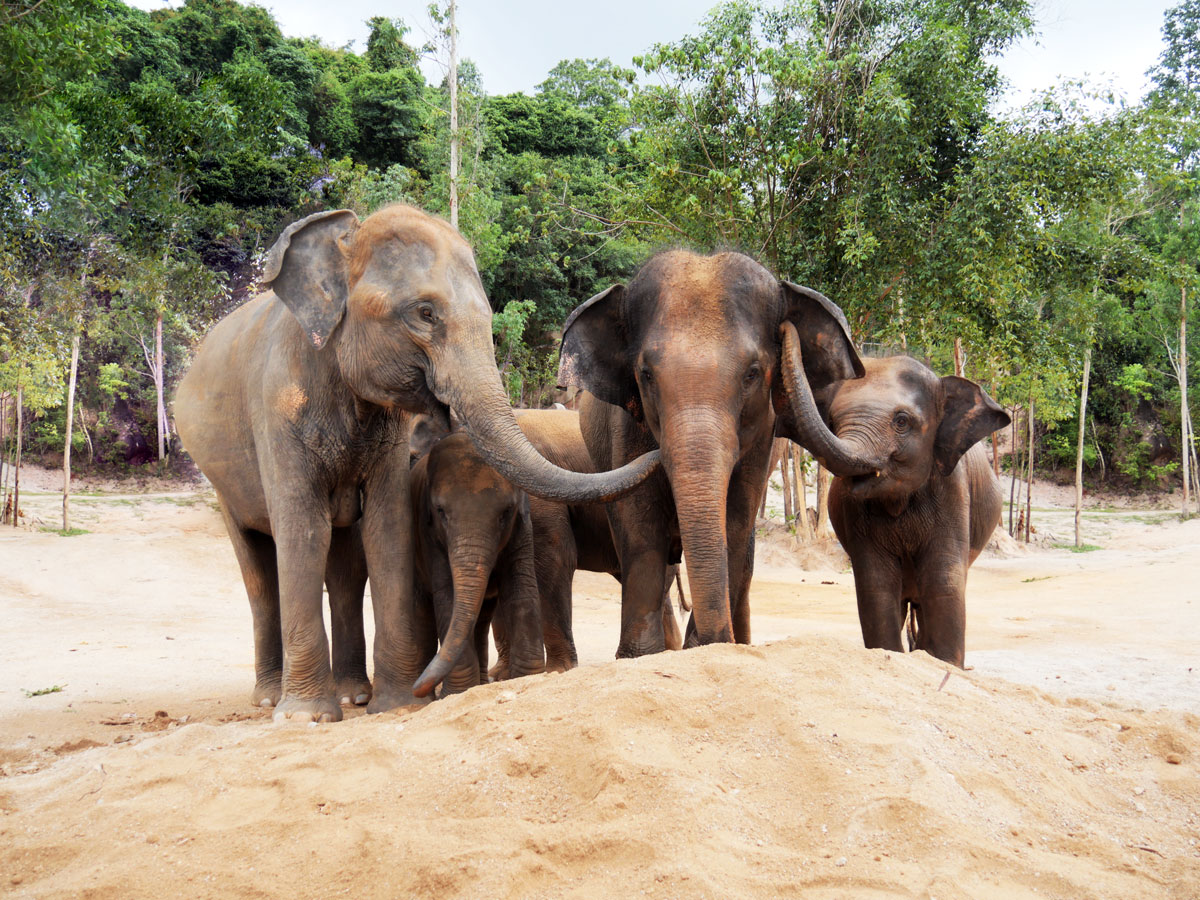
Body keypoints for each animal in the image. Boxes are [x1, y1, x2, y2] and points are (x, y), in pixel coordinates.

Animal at [408, 432, 543, 698]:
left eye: (506, 512)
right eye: (440, 511)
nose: (415, 687)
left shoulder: (521, 527)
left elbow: (522, 590)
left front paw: (529, 678)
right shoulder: (429, 537)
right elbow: (448, 598)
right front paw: (455, 693)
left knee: (481, 619)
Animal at [557, 250, 882, 658]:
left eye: (753, 373)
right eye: (646, 374)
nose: (714, 636)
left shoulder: (761, 439)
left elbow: (736, 520)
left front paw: (705, 647)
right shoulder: (624, 430)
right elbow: (639, 526)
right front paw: (639, 656)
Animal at [820, 355, 1011, 666]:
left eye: (901, 421)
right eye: (832, 422)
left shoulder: (953, 491)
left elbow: (943, 579)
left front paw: (947, 664)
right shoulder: (855, 512)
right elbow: (875, 583)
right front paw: (887, 653)